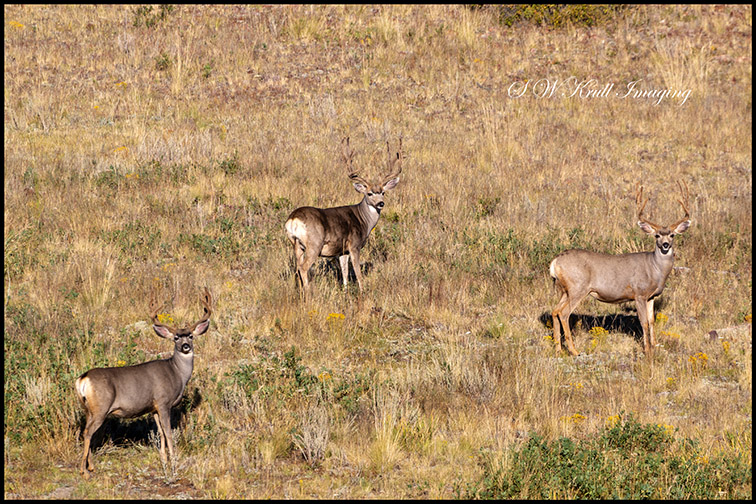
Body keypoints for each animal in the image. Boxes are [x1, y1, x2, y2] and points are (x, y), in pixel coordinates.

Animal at [75, 287, 212, 479]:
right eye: (176, 338)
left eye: (190, 336)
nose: (185, 346)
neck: (176, 373)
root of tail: (83, 378)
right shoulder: (163, 402)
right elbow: (168, 433)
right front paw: (173, 464)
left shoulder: (153, 408)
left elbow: (160, 433)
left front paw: (164, 461)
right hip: (101, 407)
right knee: (87, 433)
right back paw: (84, 471)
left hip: (88, 409)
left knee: (86, 431)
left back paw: (91, 466)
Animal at [284, 136, 403, 300]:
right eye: (369, 193)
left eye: (383, 192)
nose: (381, 203)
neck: (364, 221)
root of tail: (293, 219)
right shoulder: (354, 245)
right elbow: (357, 272)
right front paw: (362, 292)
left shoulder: (342, 251)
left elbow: (345, 273)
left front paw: (346, 293)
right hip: (314, 244)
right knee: (303, 267)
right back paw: (308, 296)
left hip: (296, 244)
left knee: (297, 268)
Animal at [549, 182, 691, 356]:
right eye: (657, 235)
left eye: (672, 235)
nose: (665, 245)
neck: (655, 270)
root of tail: (555, 262)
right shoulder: (639, 293)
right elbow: (643, 322)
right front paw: (647, 350)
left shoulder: (651, 296)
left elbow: (652, 321)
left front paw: (655, 345)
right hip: (578, 287)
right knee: (564, 313)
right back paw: (574, 351)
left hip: (565, 289)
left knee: (555, 311)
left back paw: (558, 349)